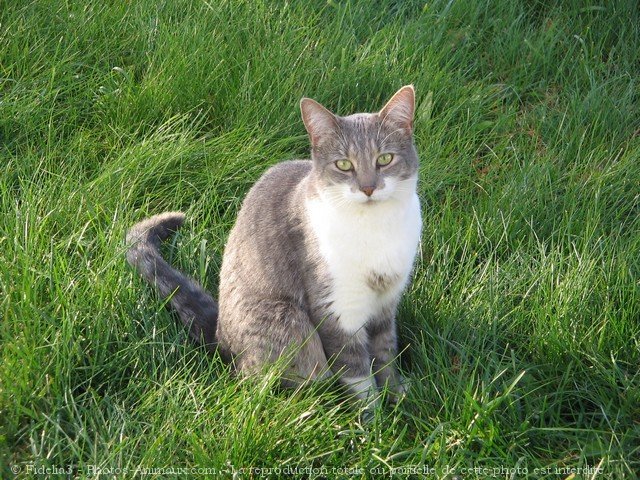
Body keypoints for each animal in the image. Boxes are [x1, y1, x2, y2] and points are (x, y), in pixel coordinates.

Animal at [127, 84, 422, 406]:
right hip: (290, 322)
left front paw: (398, 396)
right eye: (344, 164)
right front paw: (372, 415)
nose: (368, 188)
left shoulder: (387, 302)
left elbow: (385, 354)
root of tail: (219, 335)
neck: (374, 228)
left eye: (385, 159)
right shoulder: (336, 309)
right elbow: (357, 374)